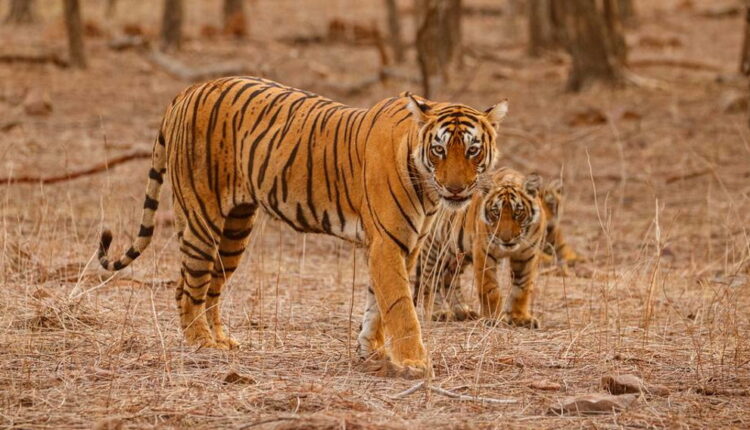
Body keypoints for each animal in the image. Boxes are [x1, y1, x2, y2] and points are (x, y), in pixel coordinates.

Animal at [96, 76, 508, 378]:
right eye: (439, 150)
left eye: (472, 150)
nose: (456, 189)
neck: (425, 184)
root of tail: (187, 90)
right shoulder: (389, 244)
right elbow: (400, 306)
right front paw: (414, 362)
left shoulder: (404, 245)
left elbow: (377, 303)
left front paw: (371, 352)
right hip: (202, 217)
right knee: (187, 286)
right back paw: (201, 342)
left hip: (235, 230)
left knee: (211, 286)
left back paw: (223, 340)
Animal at [414, 167, 546, 327]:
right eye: (496, 212)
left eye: (518, 212)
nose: (506, 238)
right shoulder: (484, 252)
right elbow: (490, 288)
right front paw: (493, 319)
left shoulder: (527, 255)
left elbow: (522, 288)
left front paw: (520, 318)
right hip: (434, 246)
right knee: (430, 280)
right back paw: (438, 312)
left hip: (457, 252)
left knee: (448, 278)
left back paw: (462, 311)